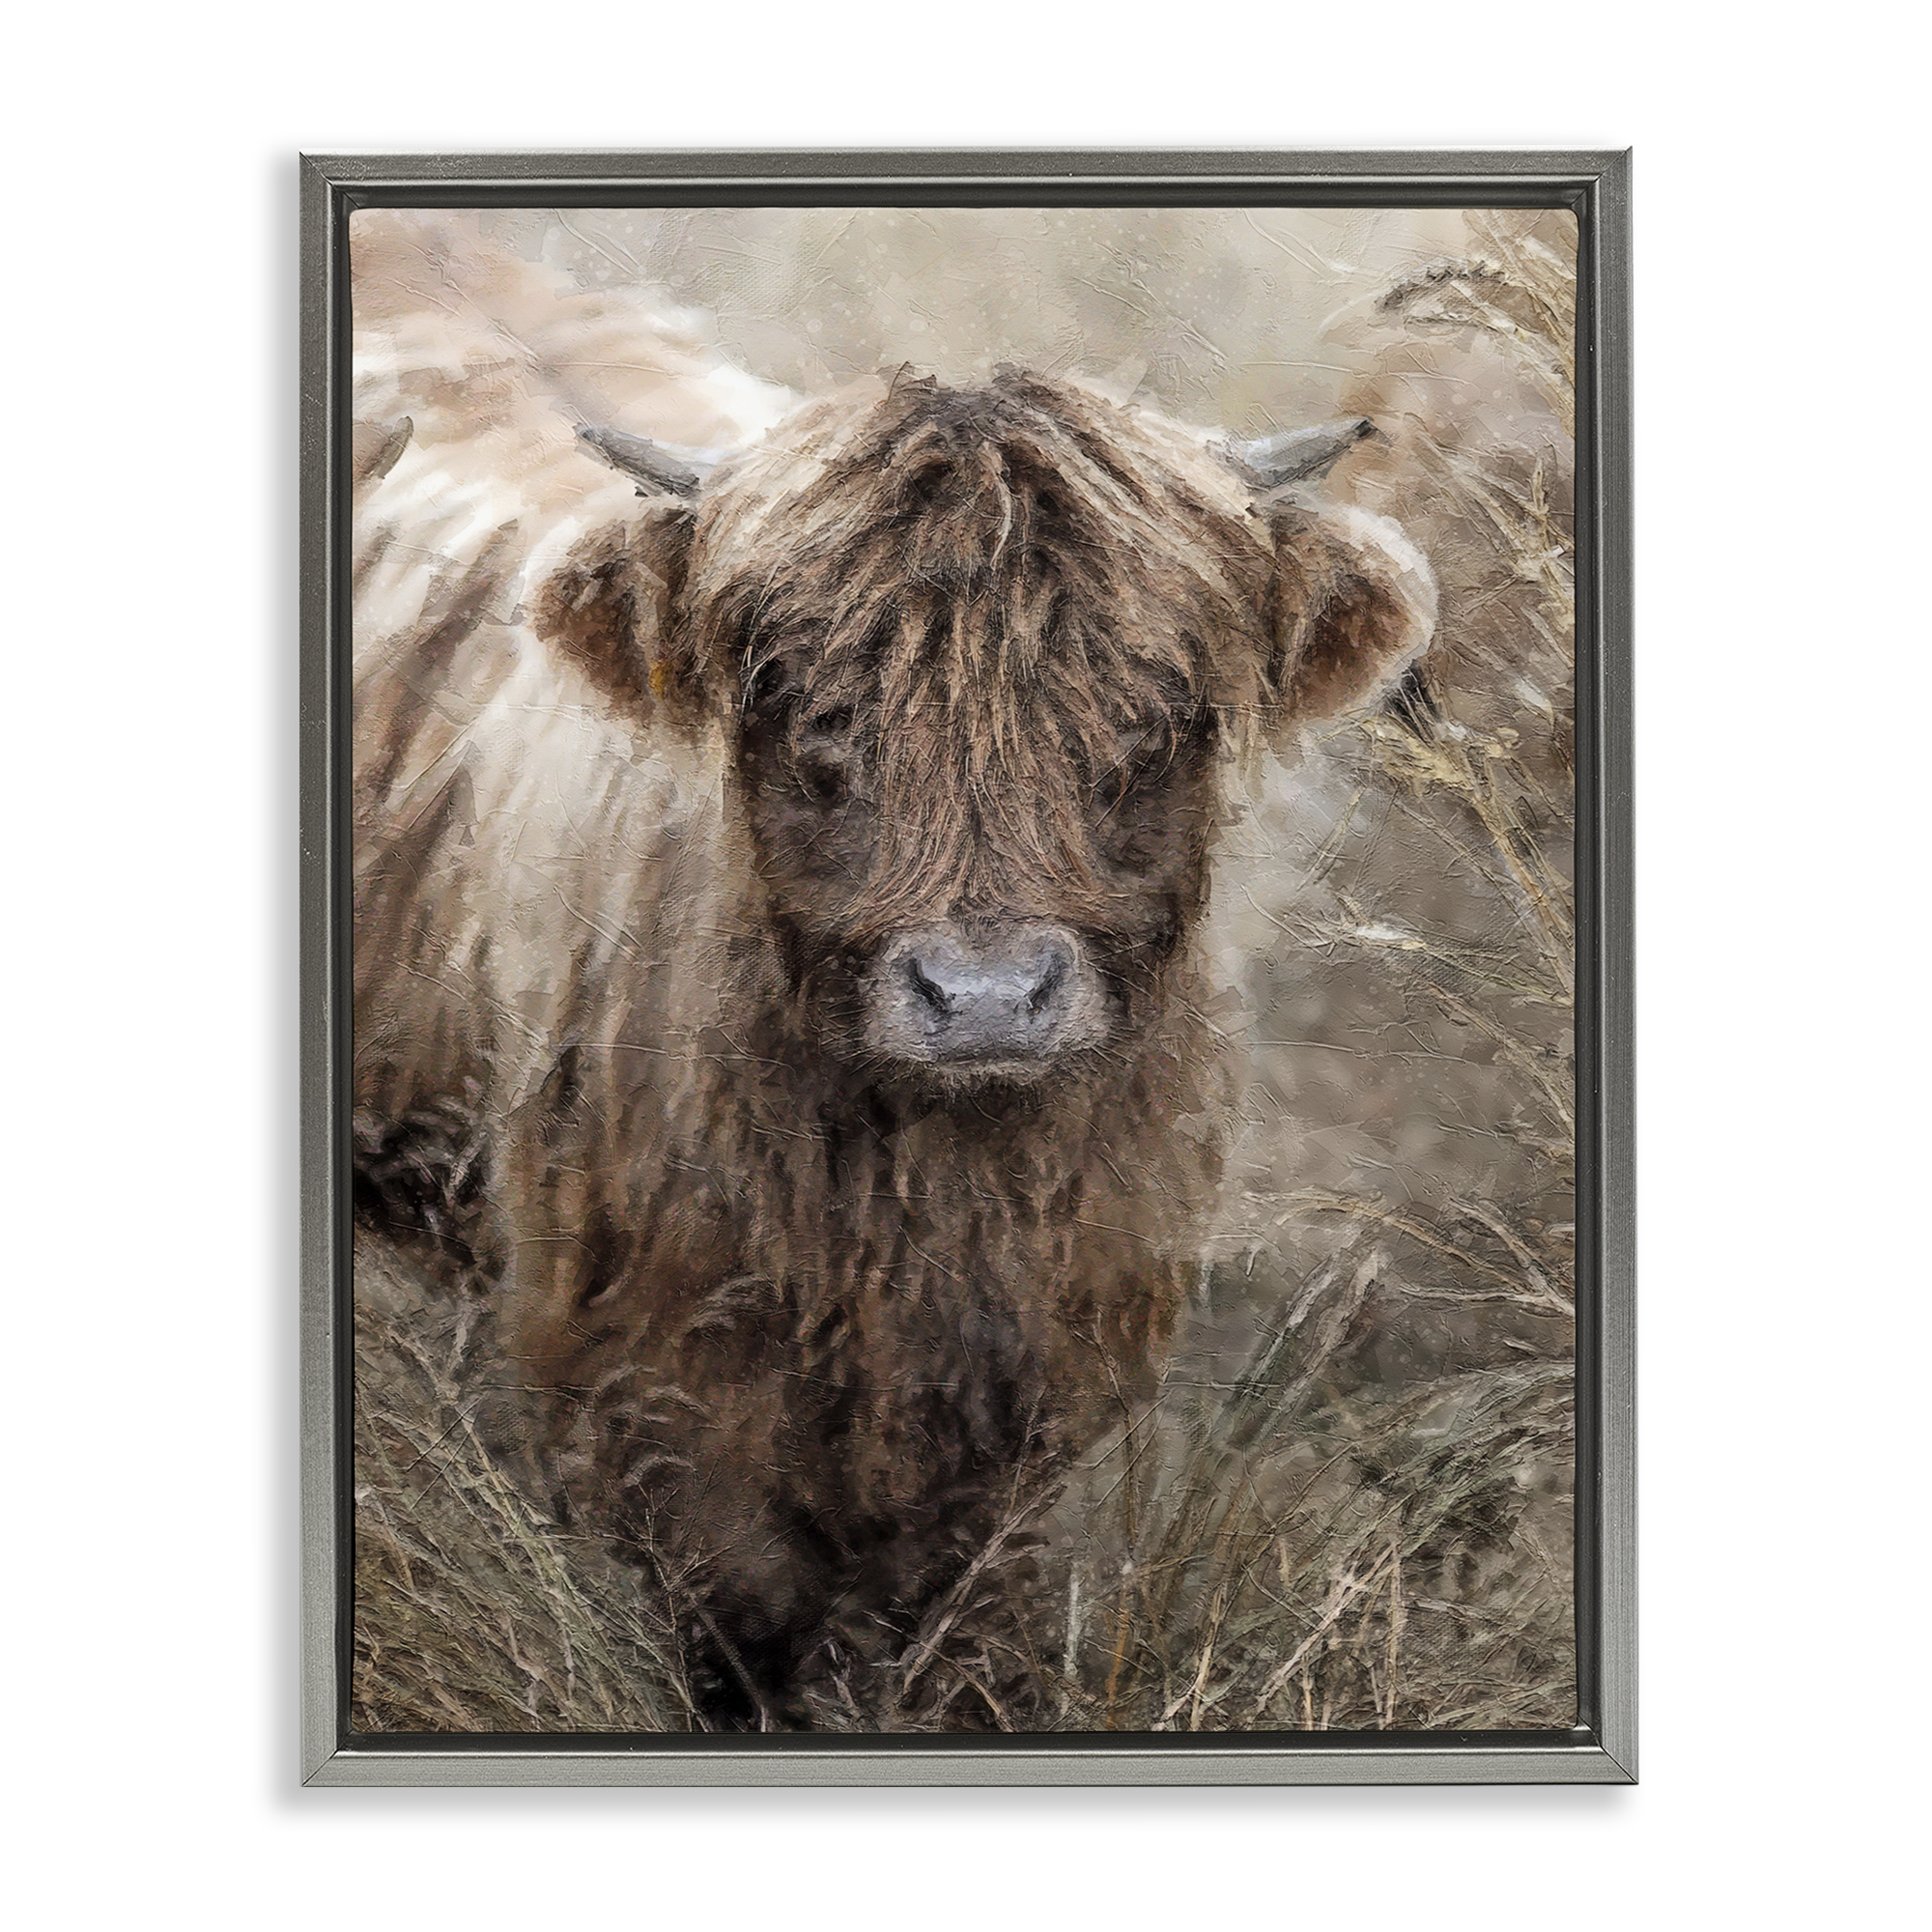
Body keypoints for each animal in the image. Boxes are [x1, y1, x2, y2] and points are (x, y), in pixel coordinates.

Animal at [353, 302, 1436, 1719]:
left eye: (1151, 721)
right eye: (815, 715)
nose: (984, 997)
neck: (924, 1195)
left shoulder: (1035, 1396)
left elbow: (961, 1623)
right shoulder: (642, 1379)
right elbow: (736, 1622)